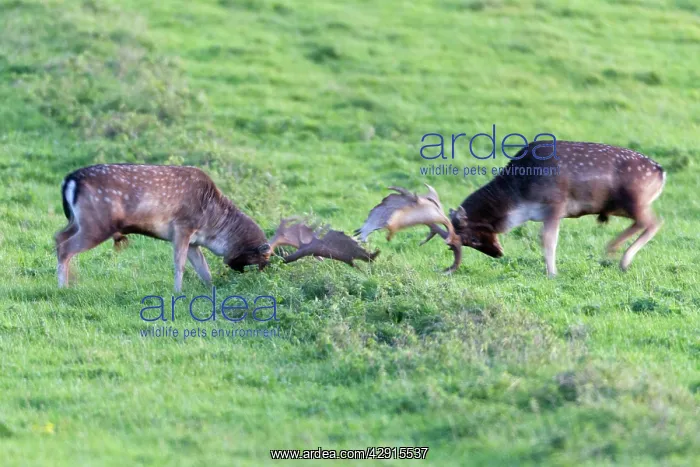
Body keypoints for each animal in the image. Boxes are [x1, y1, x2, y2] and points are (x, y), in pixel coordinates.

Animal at [55, 164, 272, 292]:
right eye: (262, 258)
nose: (258, 277)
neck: (211, 226)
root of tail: (69, 180)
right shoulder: (183, 226)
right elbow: (180, 263)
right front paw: (178, 292)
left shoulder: (193, 240)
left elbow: (203, 267)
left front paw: (211, 288)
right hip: (98, 223)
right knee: (66, 247)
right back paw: (63, 287)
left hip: (78, 221)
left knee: (58, 237)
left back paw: (70, 280)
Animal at [360, 141, 666, 276]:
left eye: (471, 239)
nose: (498, 253)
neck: (519, 198)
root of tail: (661, 173)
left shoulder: (555, 205)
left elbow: (548, 241)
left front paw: (552, 273)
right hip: (627, 205)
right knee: (648, 222)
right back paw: (614, 251)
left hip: (634, 199)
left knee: (654, 222)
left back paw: (621, 258)